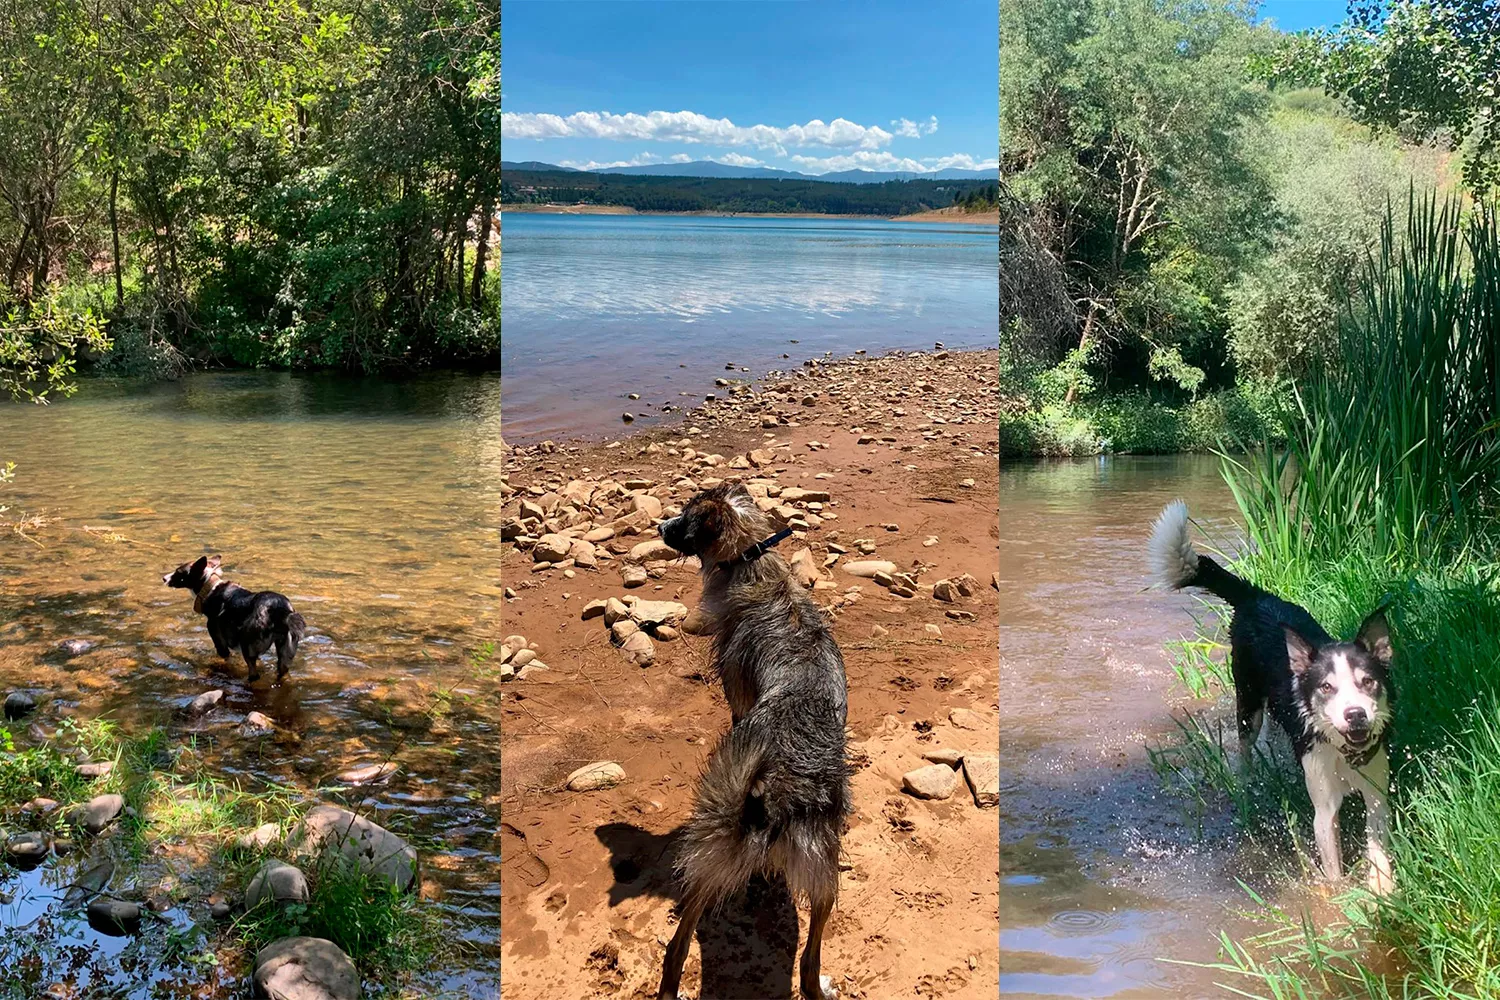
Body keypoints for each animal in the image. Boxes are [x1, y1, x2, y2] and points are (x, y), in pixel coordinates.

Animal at [162, 554, 306, 689]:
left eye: (178, 572)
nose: (164, 578)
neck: (210, 588)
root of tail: (280, 610)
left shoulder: (220, 642)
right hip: (285, 654)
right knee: (281, 674)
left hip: (247, 648)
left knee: (254, 675)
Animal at [660, 479, 858, 995]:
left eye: (685, 516)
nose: (659, 525)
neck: (751, 558)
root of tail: (778, 794)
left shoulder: (737, 696)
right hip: (825, 874)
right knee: (808, 962)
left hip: (711, 855)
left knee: (678, 946)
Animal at [1146, 503, 1392, 893]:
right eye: (1326, 687)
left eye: (1368, 682)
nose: (1355, 715)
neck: (1342, 751)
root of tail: (1256, 597)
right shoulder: (1324, 809)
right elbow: (1333, 869)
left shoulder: (1378, 793)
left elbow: (1379, 850)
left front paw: (1384, 891)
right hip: (1247, 702)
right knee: (1245, 748)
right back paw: (1246, 784)